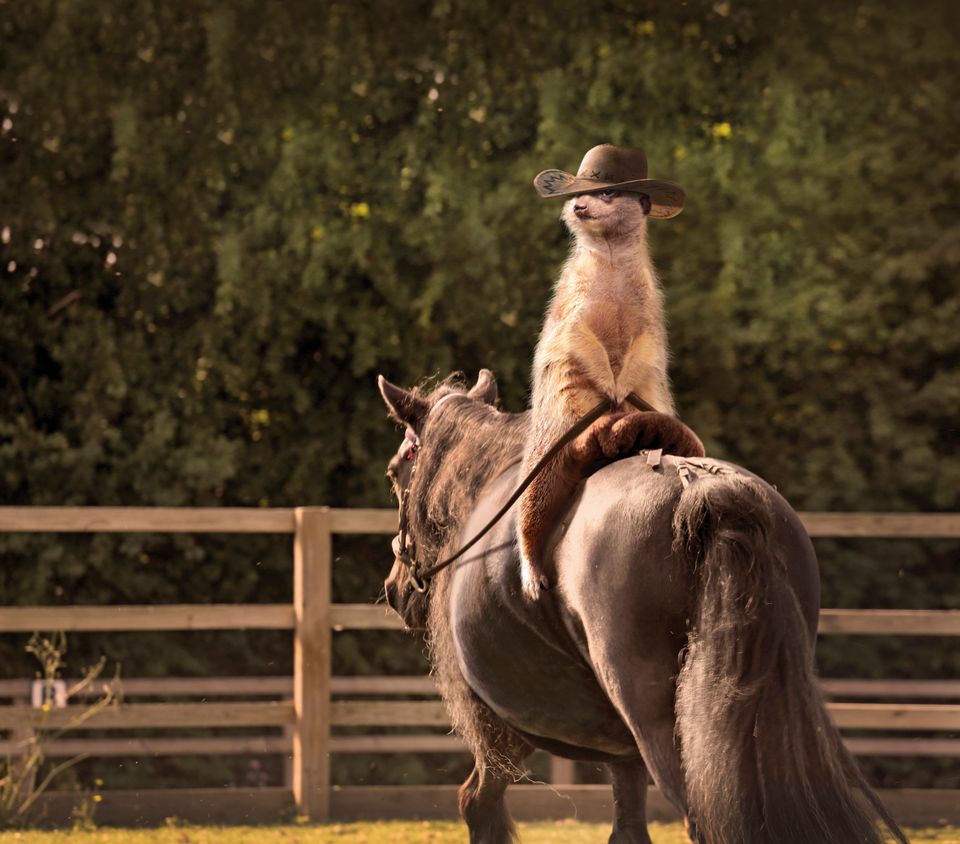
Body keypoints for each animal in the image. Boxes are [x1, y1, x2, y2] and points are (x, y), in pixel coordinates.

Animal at [376, 370, 908, 844]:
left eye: (395, 470)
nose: (396, 587)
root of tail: (699, 488)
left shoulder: (497, 732)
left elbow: (477, 803)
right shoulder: (623, 752)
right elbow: (628, 827)